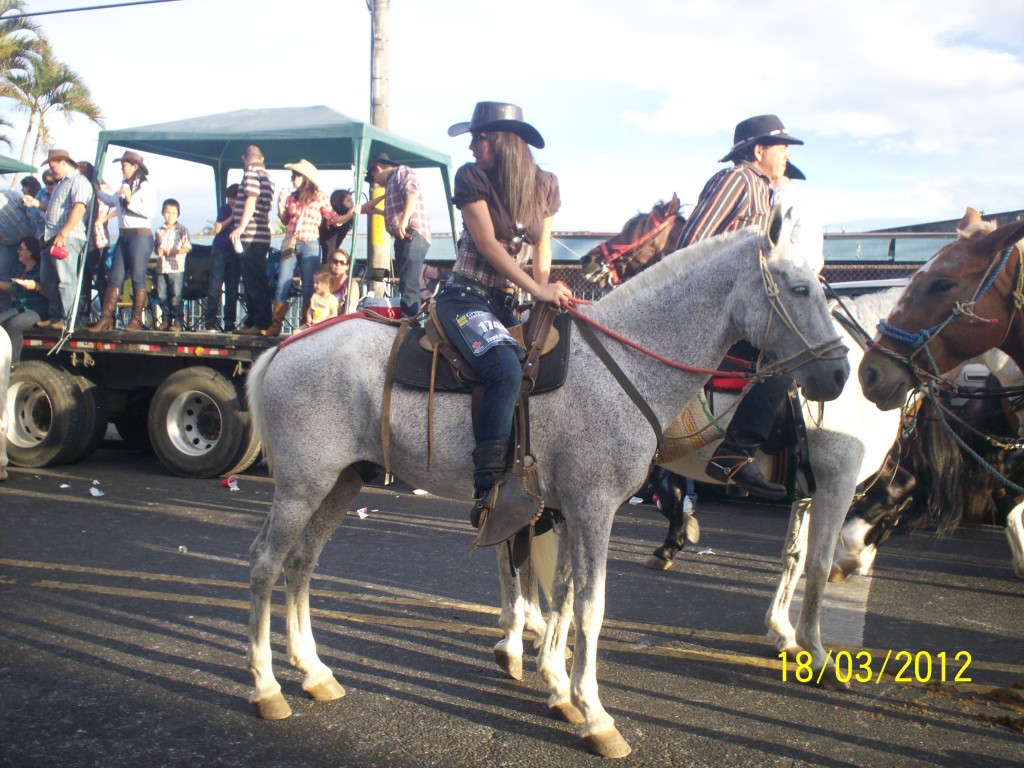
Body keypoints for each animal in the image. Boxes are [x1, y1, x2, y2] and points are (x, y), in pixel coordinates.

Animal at [241, 211, 847, 765]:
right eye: (799, 288)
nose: (840, 375)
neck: (626, 363)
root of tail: (282, 349)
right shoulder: (595, 507)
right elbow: (589, 608)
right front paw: (595, 713)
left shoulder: (568, 508)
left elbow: (561, 595)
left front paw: (559, 689)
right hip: (303, 484)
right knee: (267, 563)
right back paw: (267, 687)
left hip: (341, 481)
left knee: (302, 563)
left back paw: (314, 671)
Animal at [495, 286, 905, 692]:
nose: (874, 382)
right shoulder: (838, 479)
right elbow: (817, 564)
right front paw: (818, 654)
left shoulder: (806, 490)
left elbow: (794, 558)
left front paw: (785, 633)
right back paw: (522, 634)